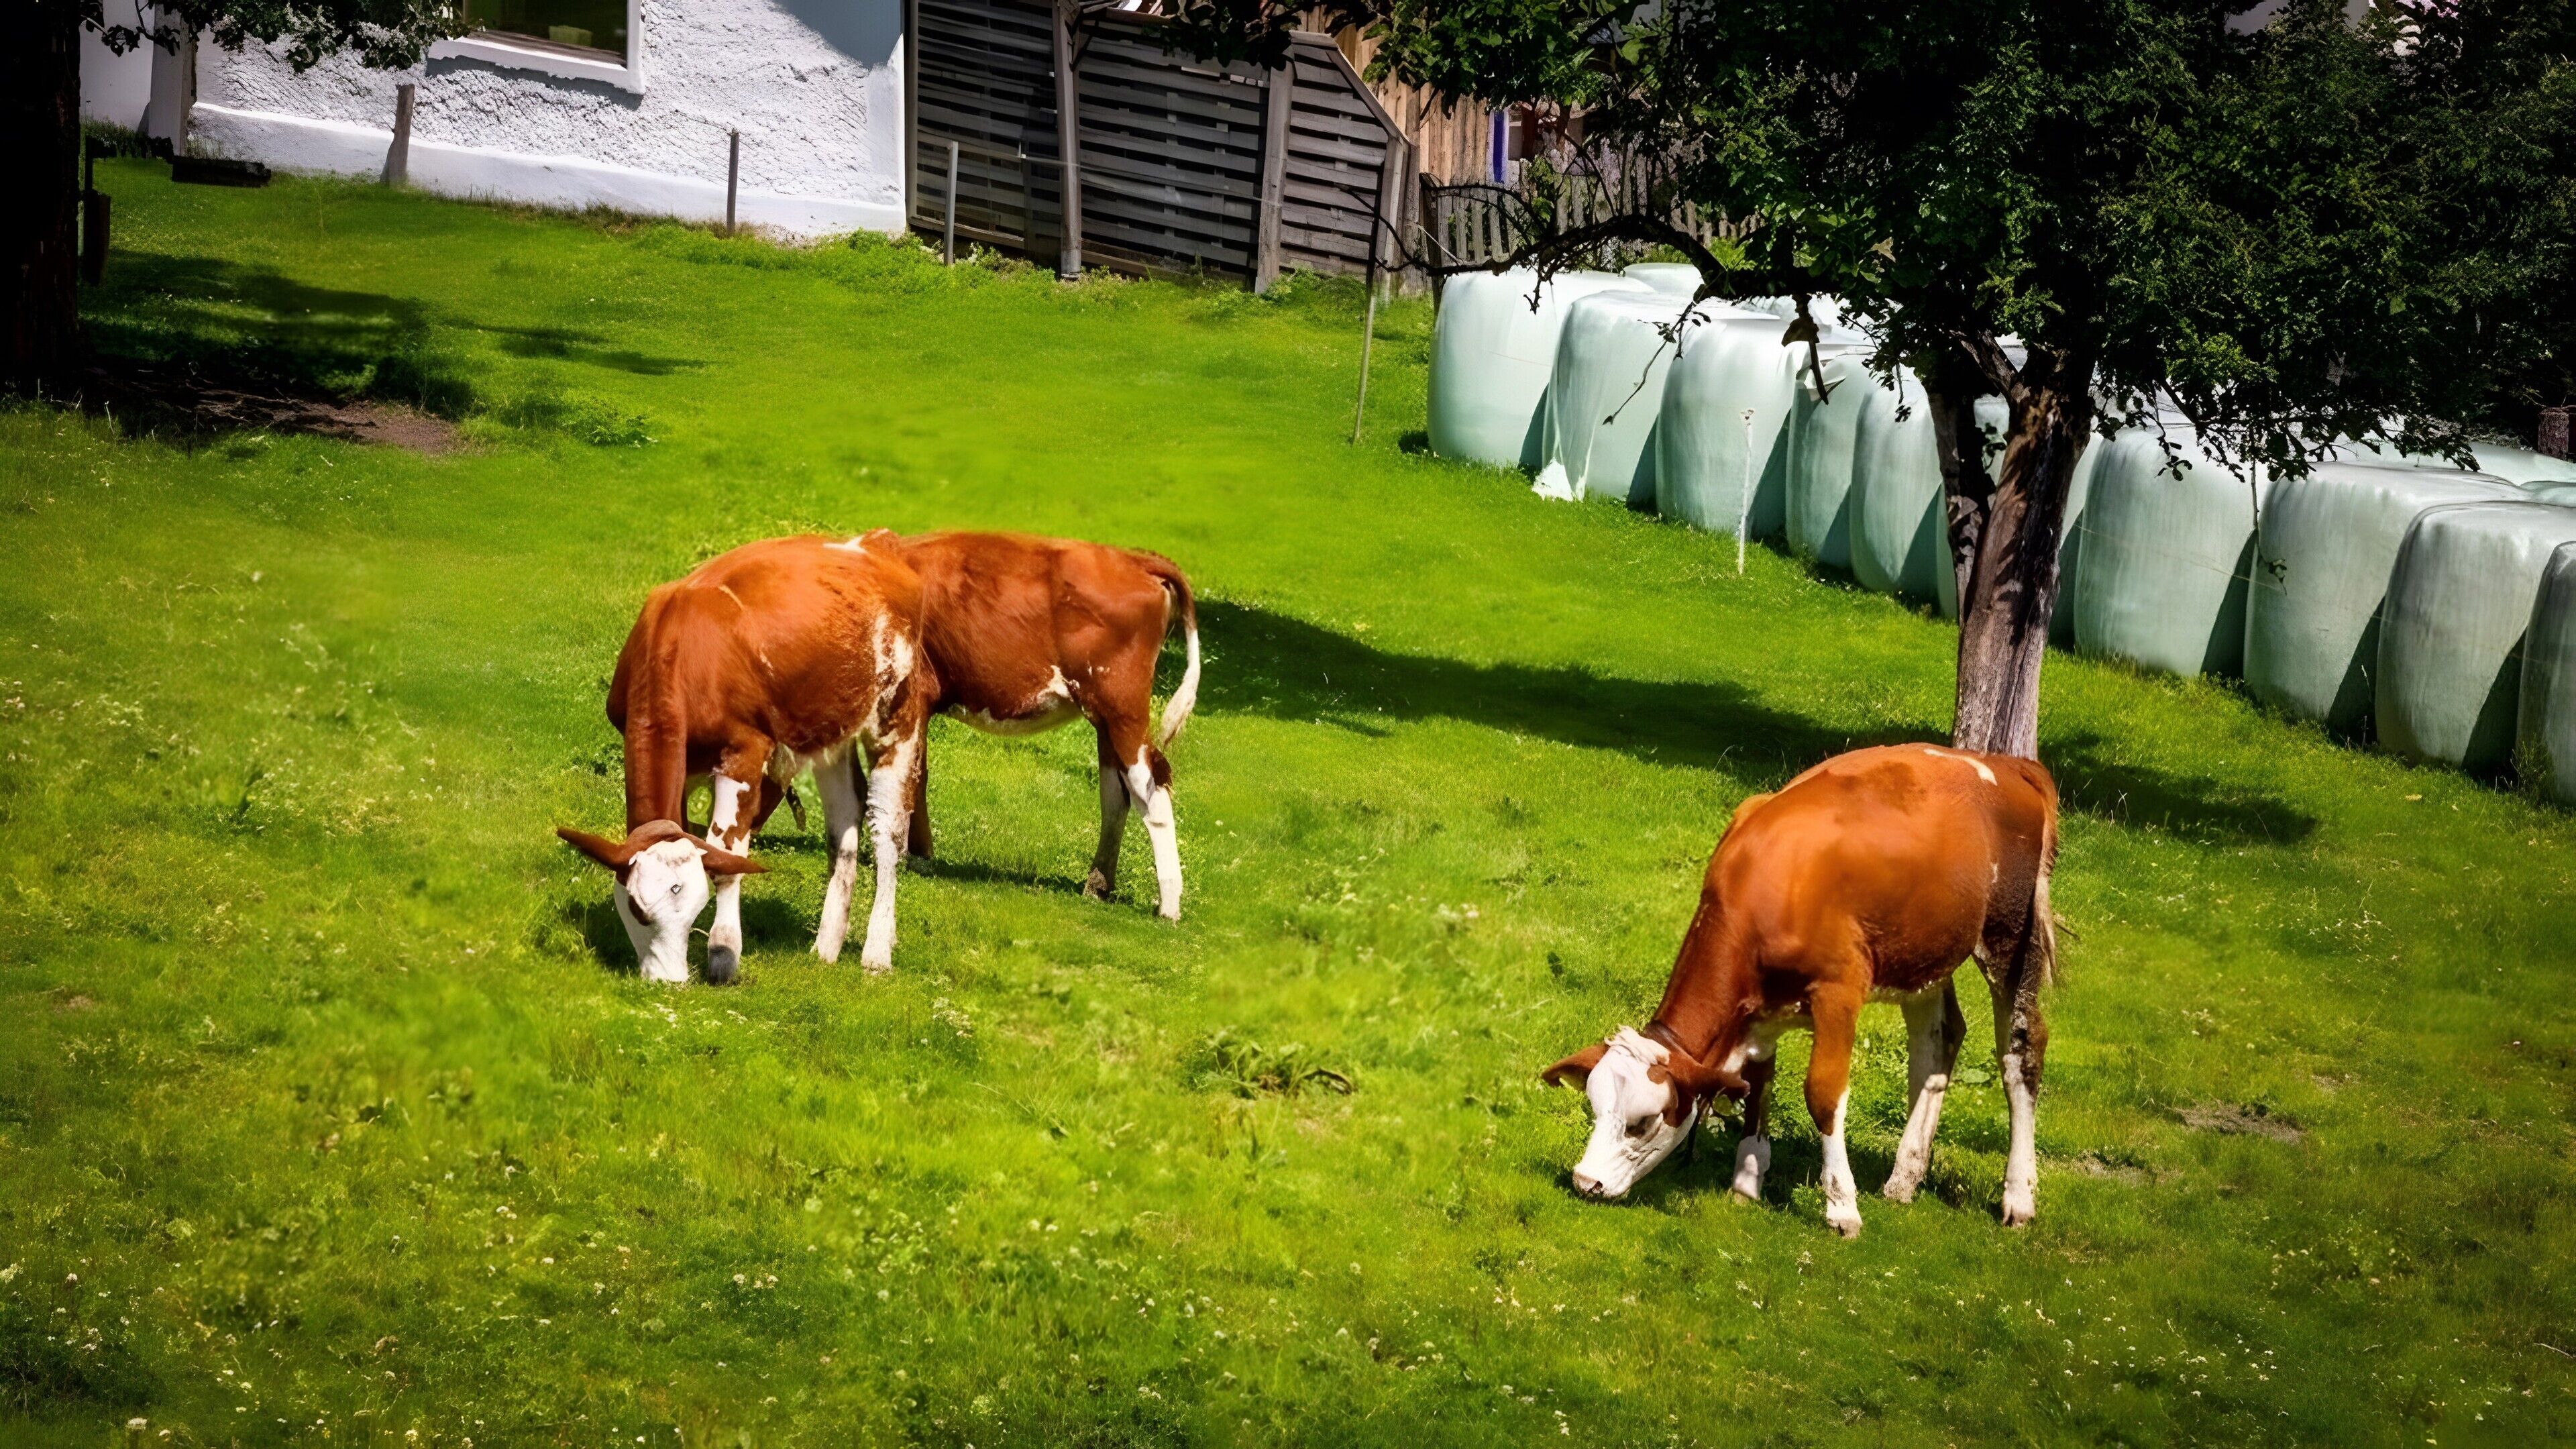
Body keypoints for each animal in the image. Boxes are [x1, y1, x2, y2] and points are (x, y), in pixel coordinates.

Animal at [556, 532, 932, 983]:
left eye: (692, 908)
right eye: (637, 909)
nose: (670, 982)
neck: (680, 649)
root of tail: (875, 543)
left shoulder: (744, 753)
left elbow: (727, 856)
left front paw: (723, 953)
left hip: (898, 712)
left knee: (888, 827)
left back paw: (876, 951)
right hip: (830, 728)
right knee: (844, 819)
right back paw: (826, 946)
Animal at [893, 532, 1201, 920]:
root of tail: (1134, 559)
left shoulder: (914, 691)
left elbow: (909, 775)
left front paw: (903, 856)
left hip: (1123, 709)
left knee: (1152, 787)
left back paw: (1169, 906)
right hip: (1105, 719)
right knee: (1116, 795)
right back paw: (1098, 885)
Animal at [1542, 744, 2060, 1236]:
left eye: (1643, 1123)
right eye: (1594, 1108)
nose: (1586, 1181)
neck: (1769, 885)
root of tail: (2007, 765)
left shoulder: (1839, 992)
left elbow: (1823, 1094)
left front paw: (1842, 1207)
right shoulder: (1757, 1009)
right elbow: (1757, 1081)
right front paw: (1747, 1180)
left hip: (2010, 937)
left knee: (2021, 1051)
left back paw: (2018, 1196)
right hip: (1923, 954)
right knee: (1938, 1041)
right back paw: (1904, 1178)